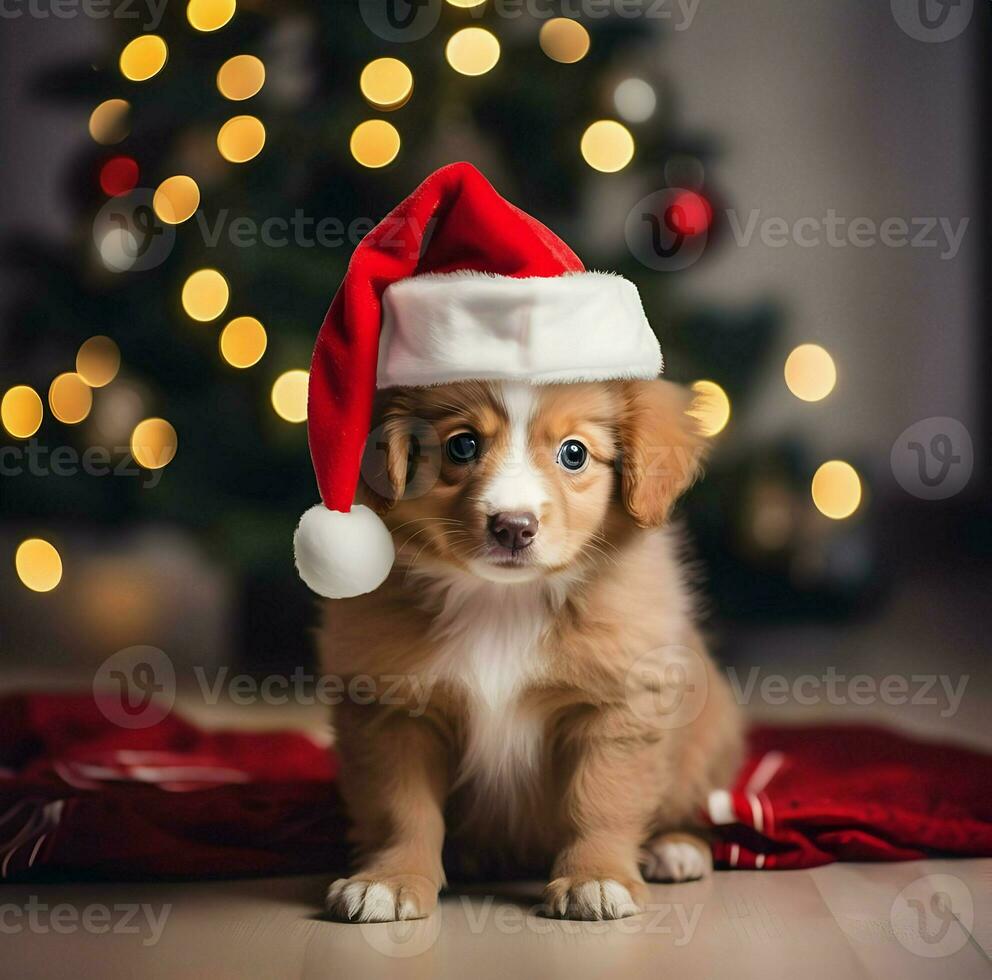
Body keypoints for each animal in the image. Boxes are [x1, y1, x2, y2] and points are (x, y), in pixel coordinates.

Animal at [322, 376, 740, 920]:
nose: (513, 527)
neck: (503, 603)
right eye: (462, 445)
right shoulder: (392, 712)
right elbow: (402, 809)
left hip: (706, 736)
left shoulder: (617, 706)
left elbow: (601, 798)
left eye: (574, 453)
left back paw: (674, 848)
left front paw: (596, 877)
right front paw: (389, 880)